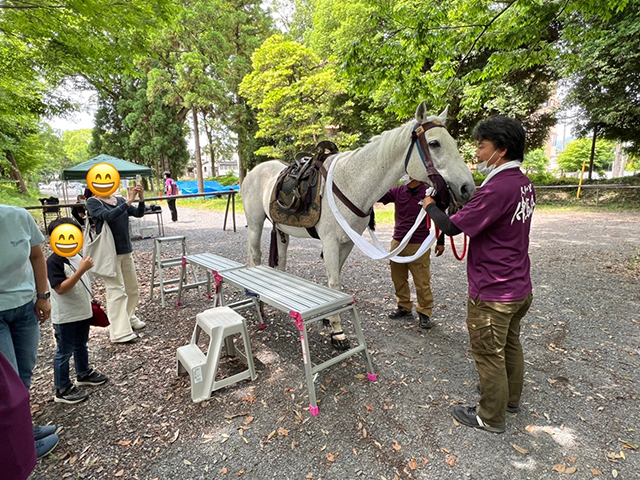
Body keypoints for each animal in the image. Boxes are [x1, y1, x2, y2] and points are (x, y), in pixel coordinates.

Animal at [242, 102, 478, 348]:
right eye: (434, 143)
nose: (467, 188)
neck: (350, 182)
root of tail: (254, 172)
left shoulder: (347, 243)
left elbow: (336, 280)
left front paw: (329, 321)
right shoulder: (330, 243)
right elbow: (335, 283)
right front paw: (338, 332)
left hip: (281, 230)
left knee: (281, 261)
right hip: (256, 224)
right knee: (254, 257)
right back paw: (256, 301)